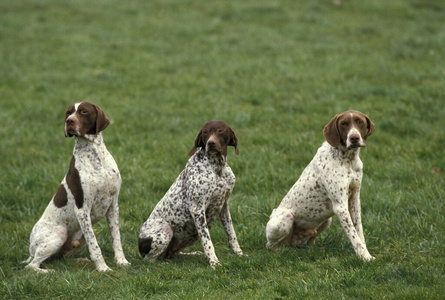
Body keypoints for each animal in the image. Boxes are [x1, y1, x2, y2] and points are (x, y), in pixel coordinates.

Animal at [23, 101, 129, 272]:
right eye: (68, 113)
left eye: (84, 112)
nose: (69, 121)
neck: (96, 157)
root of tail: (31, 248)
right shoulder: (82, 209)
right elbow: (95, 245)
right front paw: (103, 268)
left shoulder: (113, 205)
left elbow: (116, 238)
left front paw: (121, 261)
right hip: (59, 234)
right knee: (32, 265)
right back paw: (49, 272)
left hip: (78, 238)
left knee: (58, 257)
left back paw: (80, 261)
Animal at [139, 120, 243, 268]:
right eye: (205, 132)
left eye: (220, 130)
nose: (211, 143)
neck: (217, 168)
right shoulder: (197, 209)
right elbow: (207, 241)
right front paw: (214, 262)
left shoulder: (223, 206)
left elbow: (231, 234)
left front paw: (239, 254)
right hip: (165, 231)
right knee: (151, 260)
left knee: (171, 254)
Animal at [266, 110, 376, 260]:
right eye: (343, 123)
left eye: (360, 122)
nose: (354, 138)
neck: (348, 160)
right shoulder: (340, 206)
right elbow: (353, 236)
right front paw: (365, 257)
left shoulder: (354, 200)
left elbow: (359, 232)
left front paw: (365, 254)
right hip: (284, 218)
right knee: (271, 245)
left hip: (326, 220)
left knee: (309, 241)